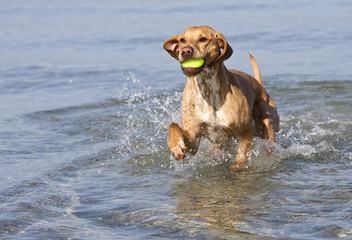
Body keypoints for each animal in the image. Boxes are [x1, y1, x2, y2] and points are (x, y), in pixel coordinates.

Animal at [164, 26, 280, 169]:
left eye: (203, 39)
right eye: (182, 40)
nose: (185, 50)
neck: (207, 88)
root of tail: (259, 84)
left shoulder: (247, 130)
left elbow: (242, 156)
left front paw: (237, 166)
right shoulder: (193, 139)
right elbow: (173, 126)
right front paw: (176, 146)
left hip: (268, 127)